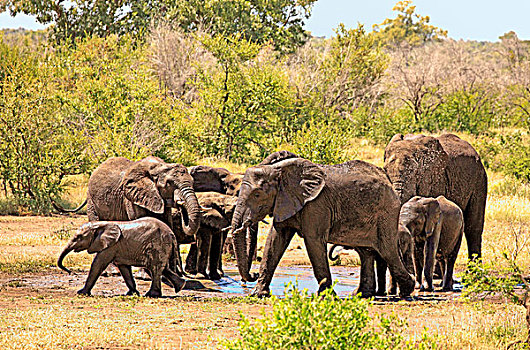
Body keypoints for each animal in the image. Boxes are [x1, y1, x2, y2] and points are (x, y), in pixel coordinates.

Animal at [57, 217, 186, 296]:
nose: (70, 272)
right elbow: (124, 268)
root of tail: (172, 234)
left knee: (155, 269)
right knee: (162, 268)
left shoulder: (110, 246)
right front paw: (132, 294)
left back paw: (151, 295)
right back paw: (180, 286)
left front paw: (81, 293)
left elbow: (98, 264)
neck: (100, 224)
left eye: (78, 237)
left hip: (158, 245)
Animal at [229, 151, 414, 298]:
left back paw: (406, 291)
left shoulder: (316, 205)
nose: (252, 274)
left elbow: (314, 242)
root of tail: (388, 180)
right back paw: (361, 294)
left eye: (257, 194)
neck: (280, 171)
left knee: (387, 250)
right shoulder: (286, 201)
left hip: (386, 213)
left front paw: (326, 296)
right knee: (365, 252)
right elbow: (275, 240)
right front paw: (258, 294)